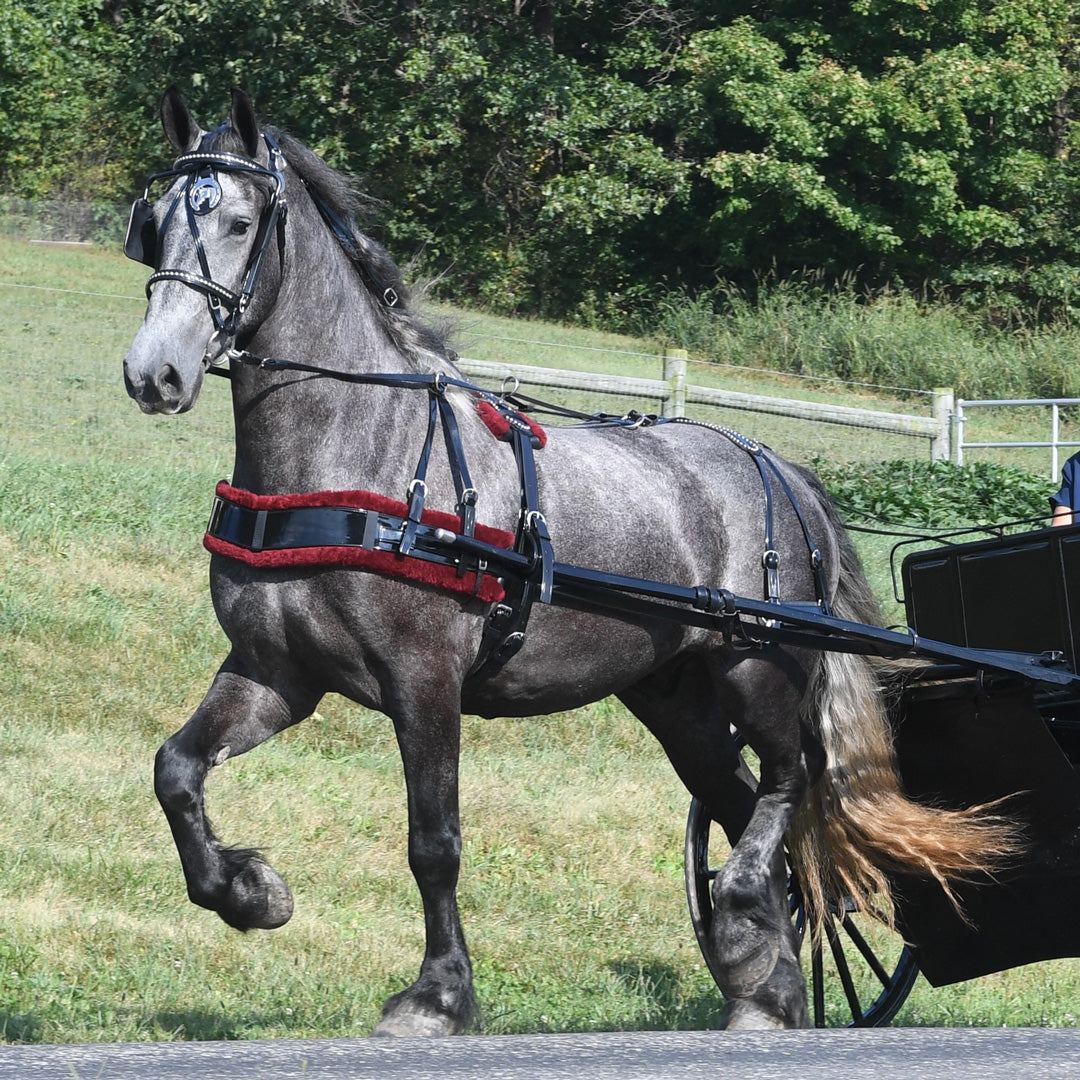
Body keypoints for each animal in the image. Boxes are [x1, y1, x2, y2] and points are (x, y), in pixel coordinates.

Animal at [122, 88, 1006, 1032]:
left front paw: (438, 995)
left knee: (789, 785)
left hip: (757, 672)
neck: (362, 453)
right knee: (744, 812)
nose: (154, 372)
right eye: (156, 221)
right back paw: (763, 981)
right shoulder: (276, 672)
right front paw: (251, 892)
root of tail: (780, 467)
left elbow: (434, 843)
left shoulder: (424, 681)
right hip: (676, 699)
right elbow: (176, 770)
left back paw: (747, 929)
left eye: (240, 221)